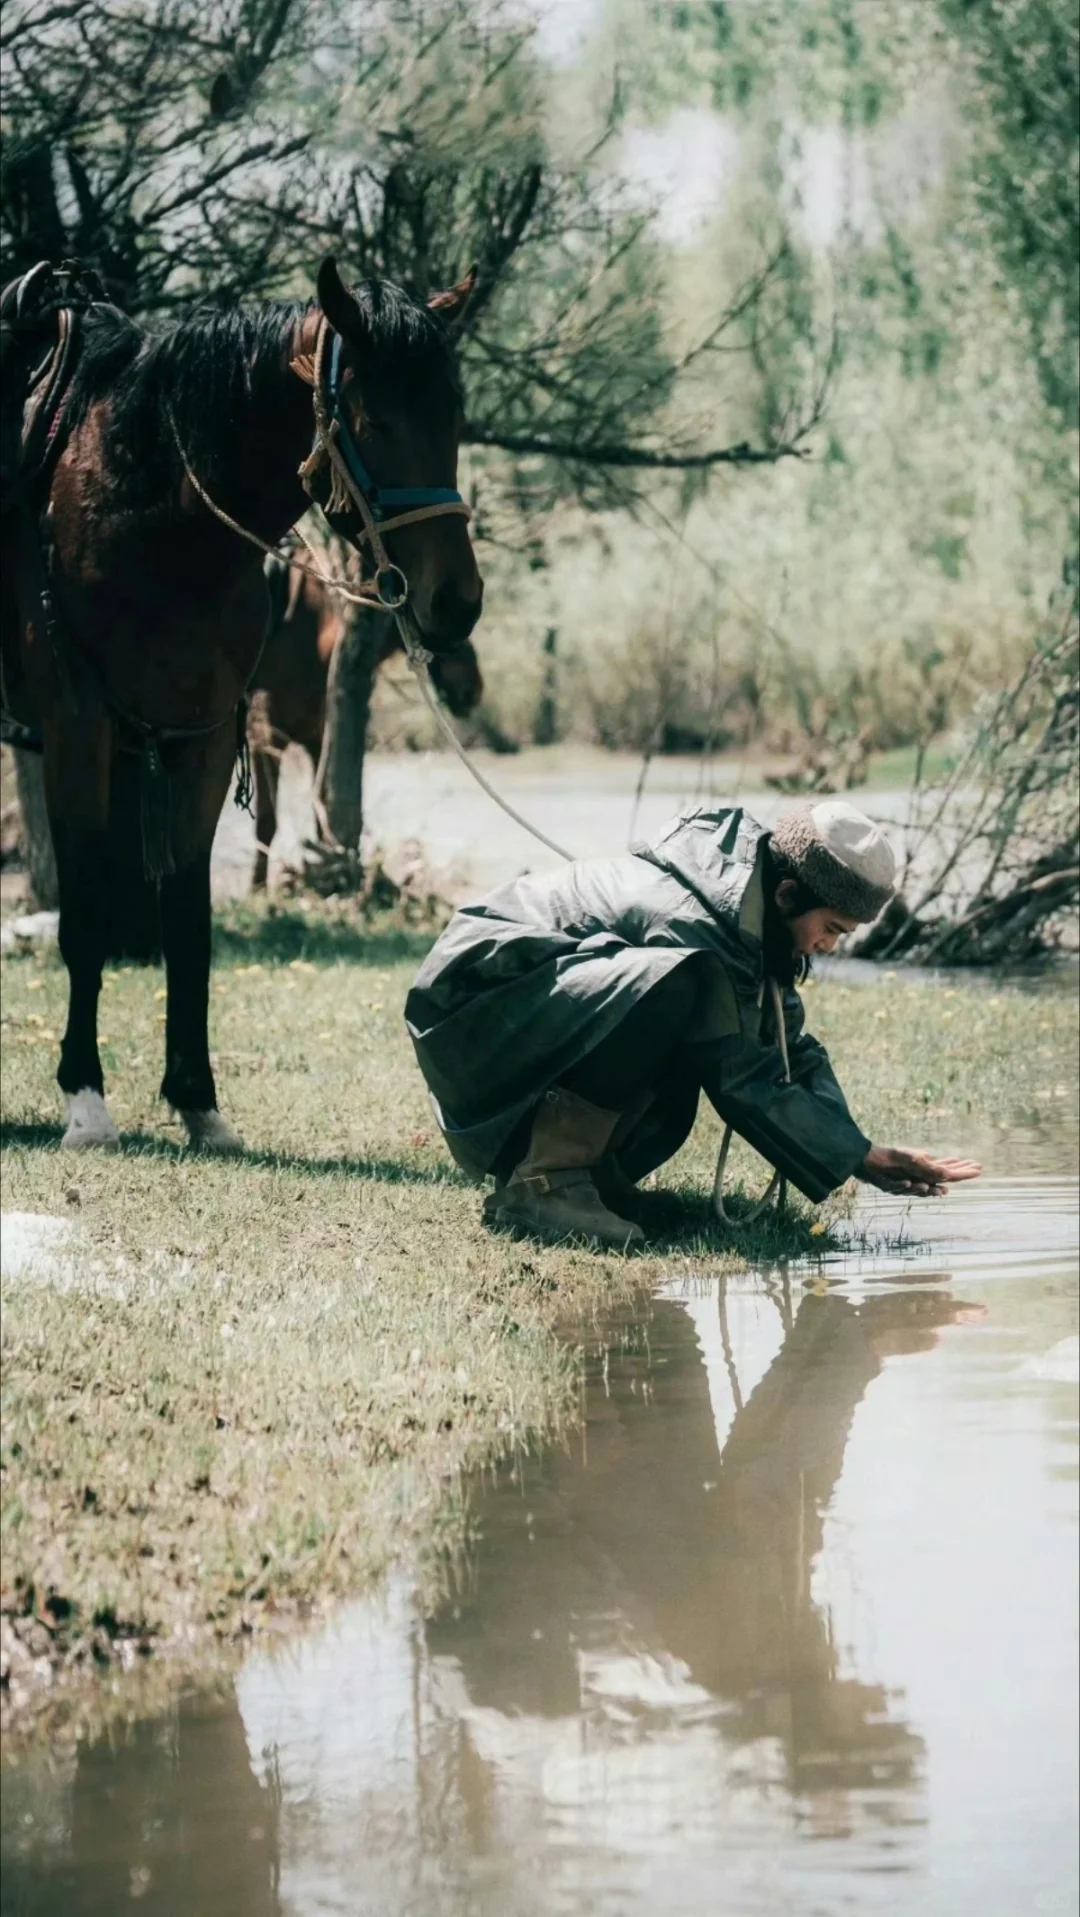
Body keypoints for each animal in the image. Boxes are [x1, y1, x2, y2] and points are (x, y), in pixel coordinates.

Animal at [251, 555, 479, 881]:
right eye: (443, 627)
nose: (473, 689)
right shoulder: (264, 738)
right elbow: (266, 822)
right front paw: (257, 888)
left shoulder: (317, 739)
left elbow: (323, 811)